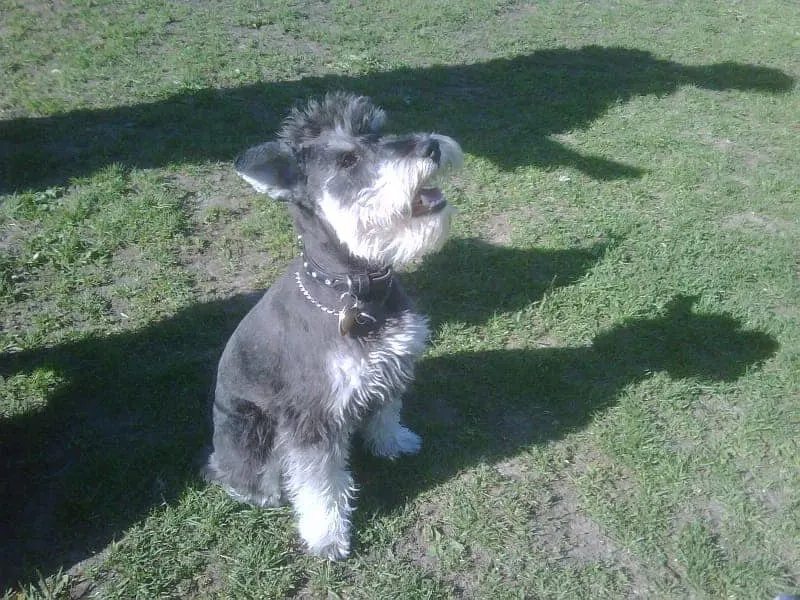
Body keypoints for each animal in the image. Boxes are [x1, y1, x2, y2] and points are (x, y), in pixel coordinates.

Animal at [205, 91, 462, 560]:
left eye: (377, 132)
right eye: (347, 160)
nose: (430, 146)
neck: (354, 292)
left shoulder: (391, 366)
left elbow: (386, 410)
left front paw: (393, 442)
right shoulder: (312, 417)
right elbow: (319, 484)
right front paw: (327, 536)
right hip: (249, 428)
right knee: (238, 472)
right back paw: (256, 490)